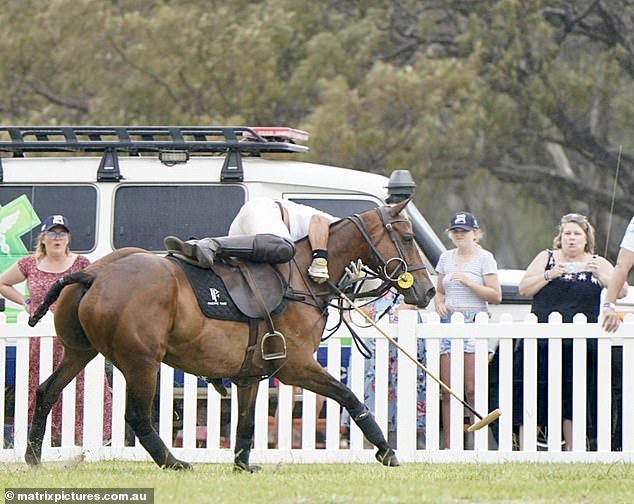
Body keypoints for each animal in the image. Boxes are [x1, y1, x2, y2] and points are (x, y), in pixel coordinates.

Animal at [25, 199, 434, 470]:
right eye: (407, 237)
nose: (428, 291)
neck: (304, 274)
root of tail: (93, 273)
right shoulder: (296, 367)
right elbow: (350, 397)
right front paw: (386, 450)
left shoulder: (251, 374)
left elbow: (247, 422)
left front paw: (241, 464)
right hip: (142, 361)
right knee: (138, 417)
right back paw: (174, 462)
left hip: (80, 351)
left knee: (45, 392)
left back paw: (32, 457)